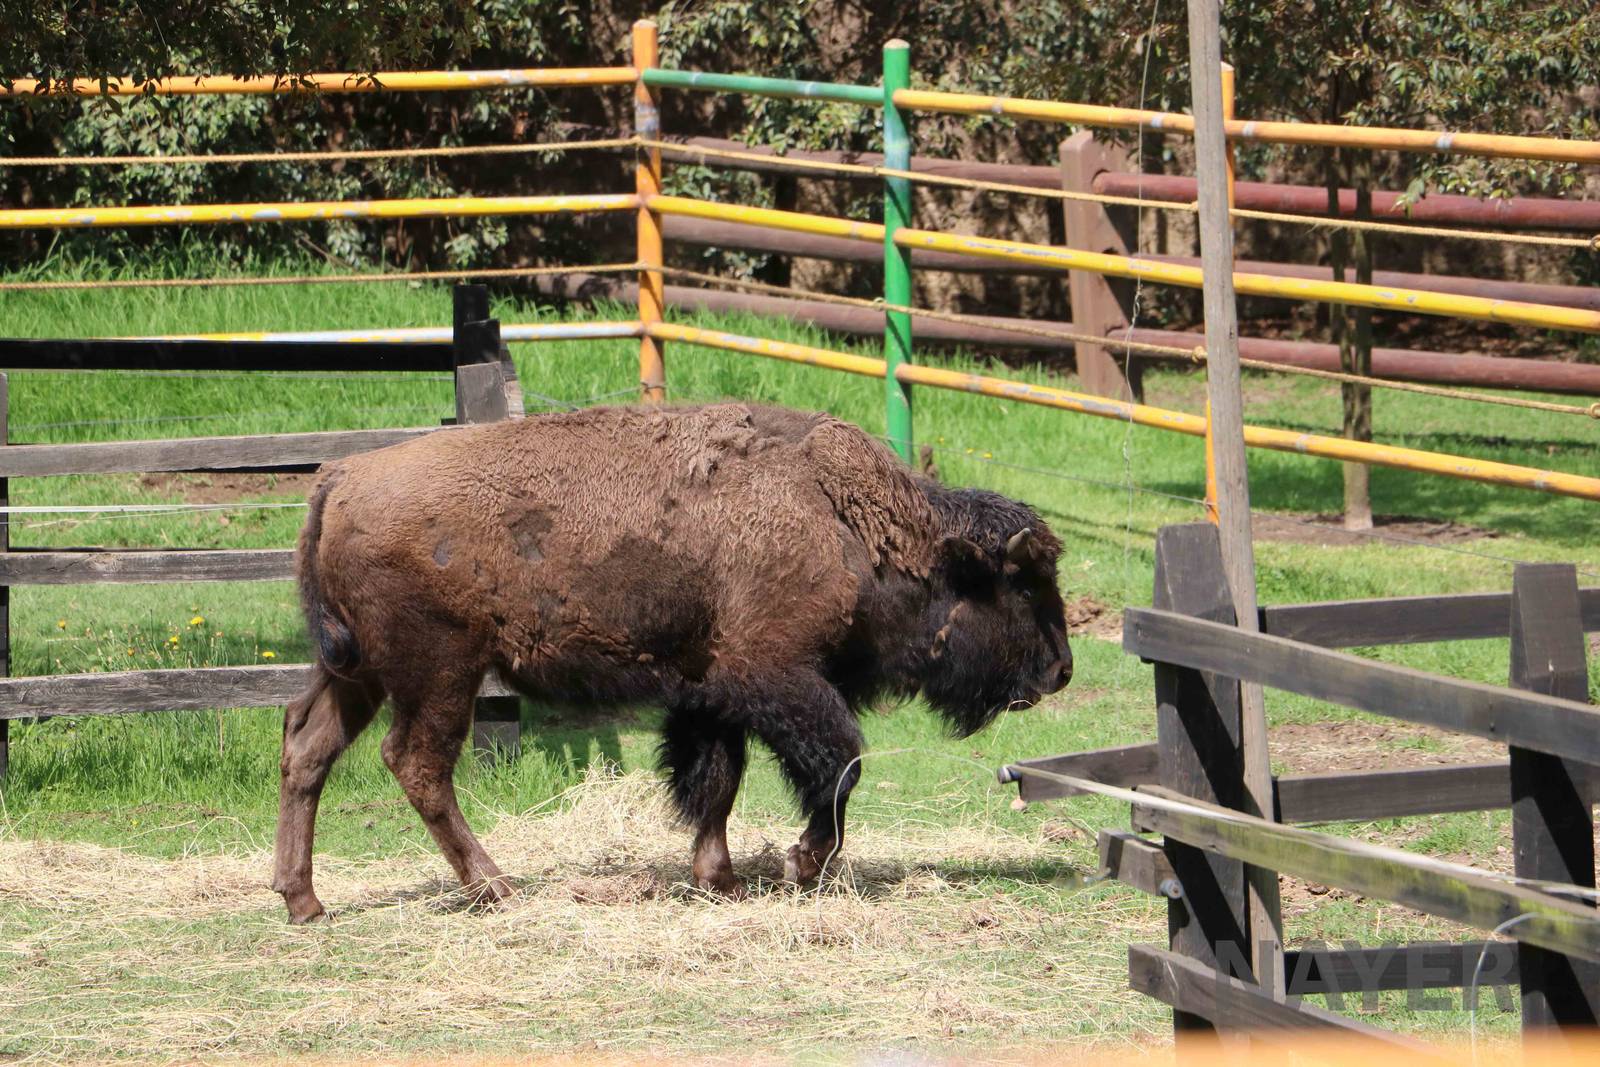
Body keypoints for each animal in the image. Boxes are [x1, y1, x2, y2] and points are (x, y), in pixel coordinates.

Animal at [273, 403, 1070, 922]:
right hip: (439, 670)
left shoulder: (711, 690)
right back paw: (494, 887)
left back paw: (304, 901)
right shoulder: (775, 676)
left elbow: (716, 780)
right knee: (416, 763)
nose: (1061, 669)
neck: (846, 522)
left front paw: (720, 879)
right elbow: (838, 763)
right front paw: (798, 863)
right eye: (1022, 583)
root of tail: (339, 478)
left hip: (359, 672)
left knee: (306, 744)